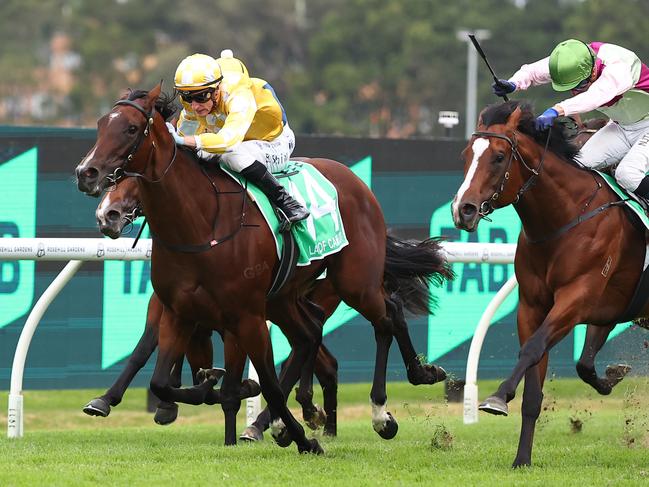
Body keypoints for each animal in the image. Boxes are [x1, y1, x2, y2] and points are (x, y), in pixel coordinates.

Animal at [74, 86, 450, 456]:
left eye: (131, 129)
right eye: (100, 125)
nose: (86, 174)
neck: (201, 225)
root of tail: (356, 183)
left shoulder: (244, 317)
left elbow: (266, 384)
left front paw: (301, 437)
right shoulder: (177, 311)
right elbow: (161, 380)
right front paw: (206, 389)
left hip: (354, 281)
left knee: (386, 318)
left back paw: (386, 408)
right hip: (284, 298)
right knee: (314, 333)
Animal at [450, 100, 644, 468]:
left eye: (499, 156)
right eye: (466, 154)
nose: (462, 210)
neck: (566, 218)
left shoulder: (575, 298)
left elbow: (532, 348)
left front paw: (497, 396)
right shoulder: (534, 306)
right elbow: (535, 383)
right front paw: (521, 459)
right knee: (585, 361)